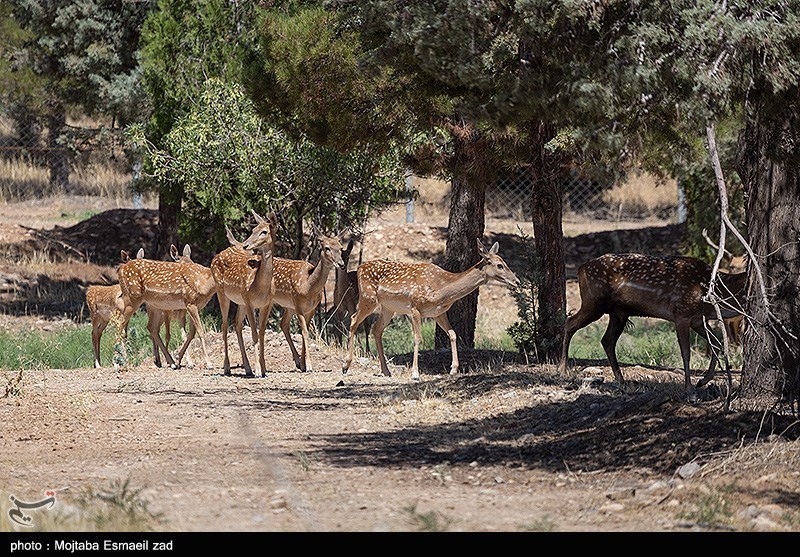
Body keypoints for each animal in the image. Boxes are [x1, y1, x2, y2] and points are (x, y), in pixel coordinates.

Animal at [211, 211, 276, 376]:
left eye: (264, 231)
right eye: (253, 230)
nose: (246, 244)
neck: (260, 287)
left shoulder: (268, 304)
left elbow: (262, 333)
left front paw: (264, 368)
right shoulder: (249, 301)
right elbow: (254, 333)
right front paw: (259, 370)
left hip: (239, 301)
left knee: (237, 323)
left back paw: (247, 368)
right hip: (222, 292)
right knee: (224, 325)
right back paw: (227, 367)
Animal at [272, 224, 344, 372]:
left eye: (341, 248)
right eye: (327, 248)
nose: (341, 264)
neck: (308, 286)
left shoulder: (311, 308)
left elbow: (306, 331)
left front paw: (304, 364)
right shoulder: (298, 305)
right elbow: (304, 332)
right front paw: (309, 366)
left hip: (288, 306)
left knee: (283, 324)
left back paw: (298, 361)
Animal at [342, 240, 520, 382]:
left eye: (504, 262)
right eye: (499, 265)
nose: (516, 281)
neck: (442, 288)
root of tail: (359, 267)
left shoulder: (438, 313)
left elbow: (453, 334)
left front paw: (454, 369)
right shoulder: (415, 307)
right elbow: (417, 338)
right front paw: (415, 374)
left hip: (388, 308)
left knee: (376, 329)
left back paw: (386, 371)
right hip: (368, 298)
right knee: (353, 319)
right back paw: (346, 365)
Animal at [560, 254, 748, 394]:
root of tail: (581, 268)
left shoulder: (697, 320)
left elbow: (716, 343)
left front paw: (702, 381)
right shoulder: (681, 314)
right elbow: (686, 352)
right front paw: (689, 389)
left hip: (618, 312)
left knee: (607, 340)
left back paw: (622, 381)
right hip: (594, 302)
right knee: (569, 323)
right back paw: (563, 369)